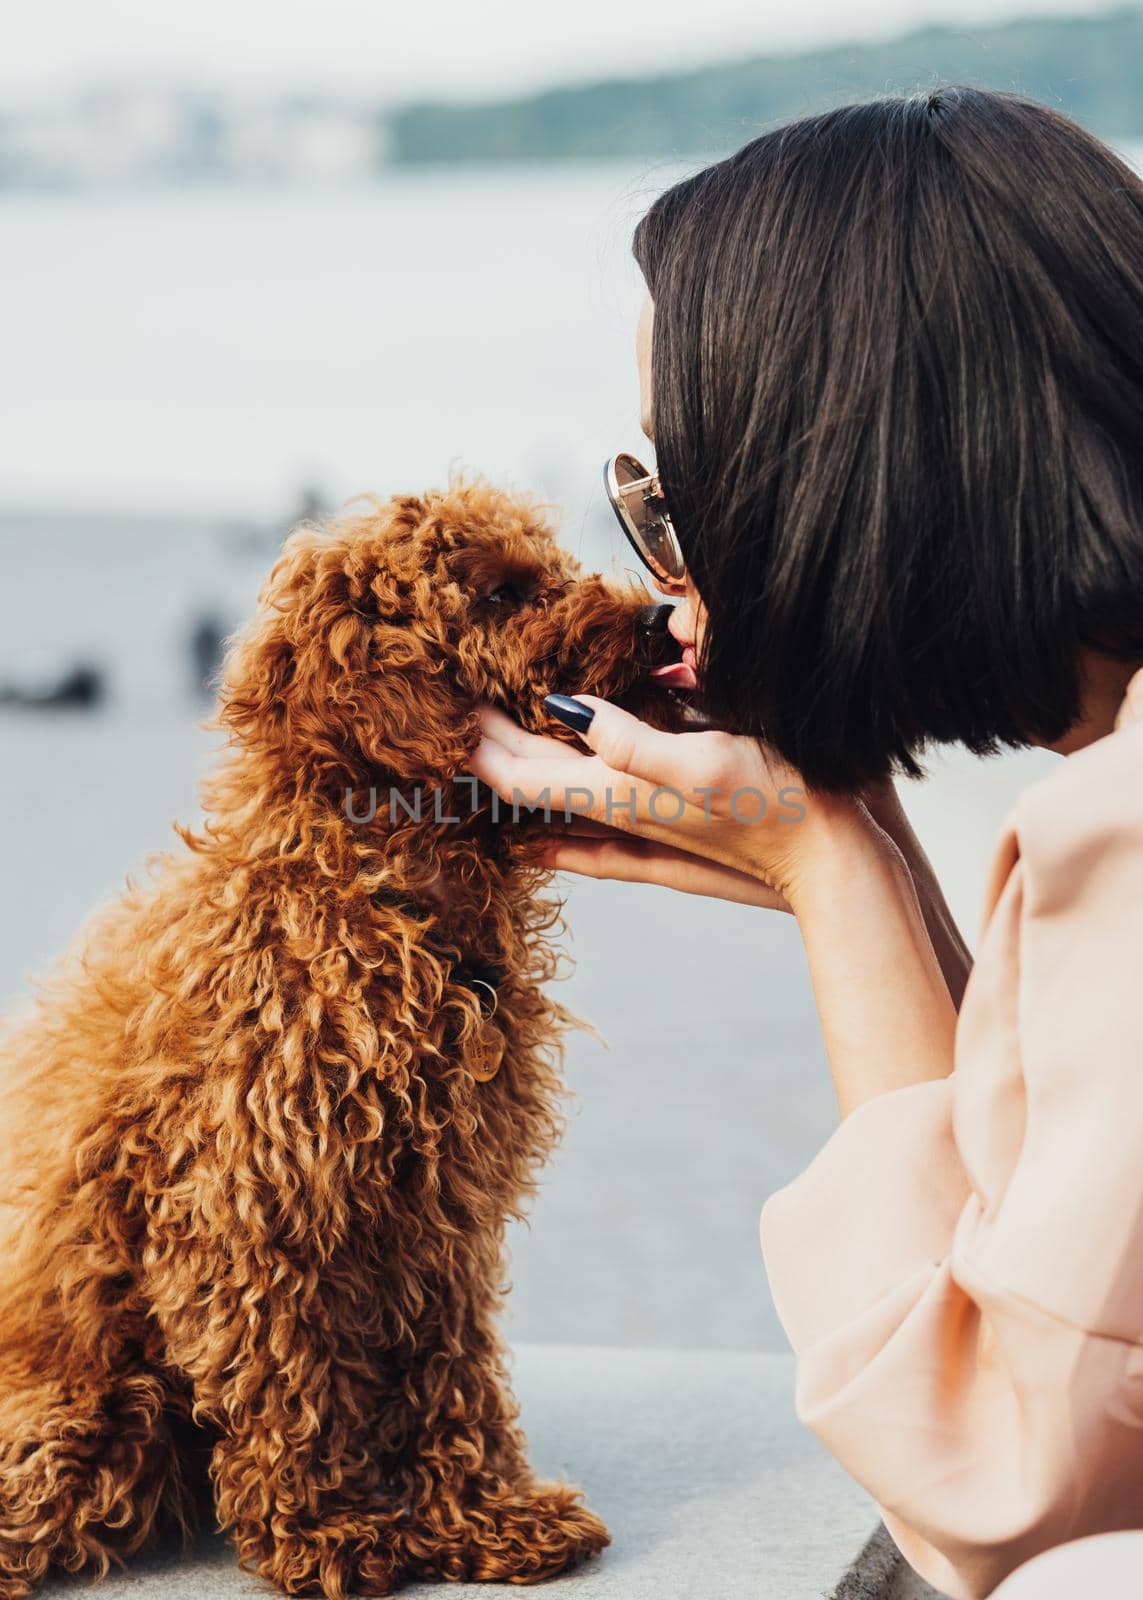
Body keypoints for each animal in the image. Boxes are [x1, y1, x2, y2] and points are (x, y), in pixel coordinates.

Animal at [0, 480, 681, 1600]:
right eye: (501, 593)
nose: (665, 618)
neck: (386, 902)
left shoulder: (436, 1213)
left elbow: (452, 1374)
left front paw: (484, 1515)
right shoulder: (246, 1203)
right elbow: (286, 1381)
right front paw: (331, 1533)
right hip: (84, 1418)